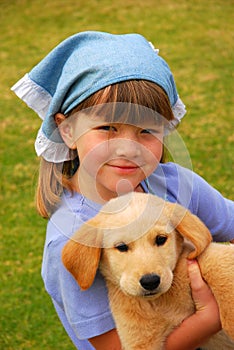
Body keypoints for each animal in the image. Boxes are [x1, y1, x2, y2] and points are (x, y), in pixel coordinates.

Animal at [61, 193, 234, 348]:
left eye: (161, 239)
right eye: (121, 247)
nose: (150, 281)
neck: (159, 303)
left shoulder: (204, 257)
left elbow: (219, 268)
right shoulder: (139, 341)